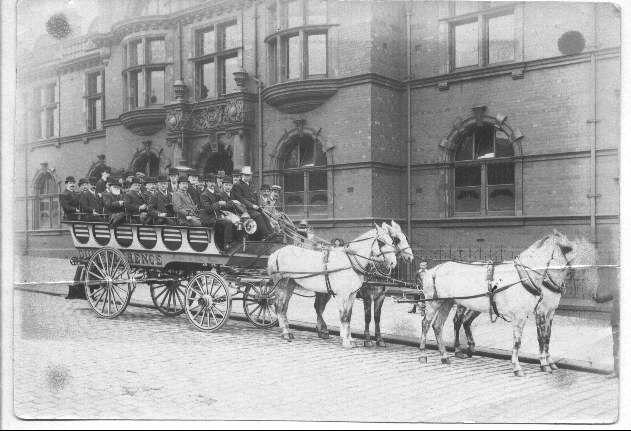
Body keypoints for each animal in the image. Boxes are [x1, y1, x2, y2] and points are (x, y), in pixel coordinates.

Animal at [268, 224, 398, 350]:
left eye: (392, 241)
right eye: (381, 242)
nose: (393, 263)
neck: (350, 262)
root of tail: (277, 253)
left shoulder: (352, 295)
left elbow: (349, 316)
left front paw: (350, 339)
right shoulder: (343, 295)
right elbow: (344, 317)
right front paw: (346, 341)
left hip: (290, 285)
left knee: (285, 308)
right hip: (282, 285)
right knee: (279, 307)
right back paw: (285, 333)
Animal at [420, 231, 576, 376]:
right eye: (566, 248)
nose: (573, 271)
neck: (523, 276)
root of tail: (433, 270)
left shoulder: (547, 312)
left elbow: (546, 336)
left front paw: (547, 363)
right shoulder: (529, 314)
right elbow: (523, 340)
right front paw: (521, 367)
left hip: (447, 303)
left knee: (439, 325)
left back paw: (445, 356)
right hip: (434, 303)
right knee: (427, 324)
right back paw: (423, 355)